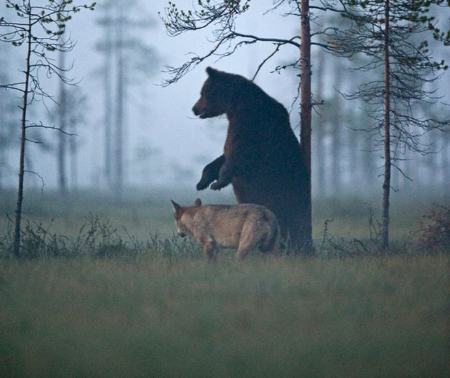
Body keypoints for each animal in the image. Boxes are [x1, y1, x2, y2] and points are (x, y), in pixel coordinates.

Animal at [192, 67, 312, 248]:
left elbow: (238, 155)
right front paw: (202, 182)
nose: (194, 108)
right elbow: (223, 156)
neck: (236, 106)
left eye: (204, 92)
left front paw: (218, 182)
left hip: (282, 195)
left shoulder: (251, 127)